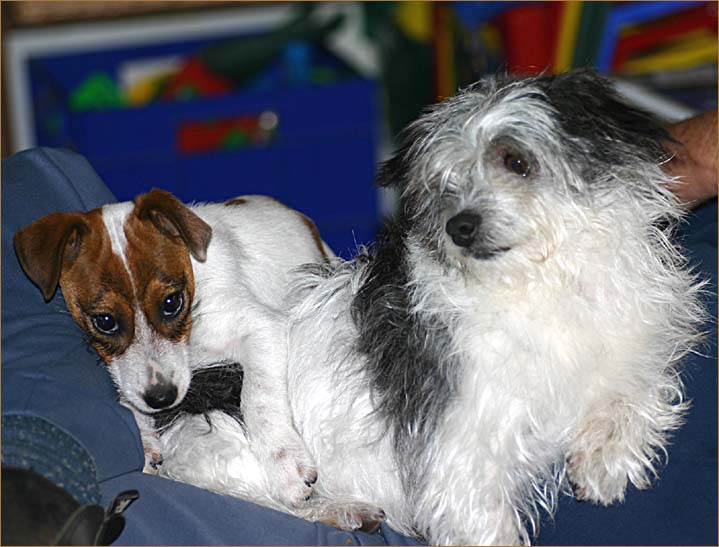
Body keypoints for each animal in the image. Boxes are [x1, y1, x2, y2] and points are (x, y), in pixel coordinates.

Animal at [13, 189, 334, 512]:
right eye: (104, 321)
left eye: (171, 302)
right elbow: (127, 392)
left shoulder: (263, 327)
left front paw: (283, 459)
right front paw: (144, 438)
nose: (162, 398)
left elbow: (259, 397)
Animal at [286, 70, 704, 544]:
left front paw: (603, 459)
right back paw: (339, 508)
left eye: (516, 162)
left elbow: (636, 391)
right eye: (442, 183)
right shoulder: (461, 459)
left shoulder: (633, 349)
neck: (543, 283)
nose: (459, 227)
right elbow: (487, 526)